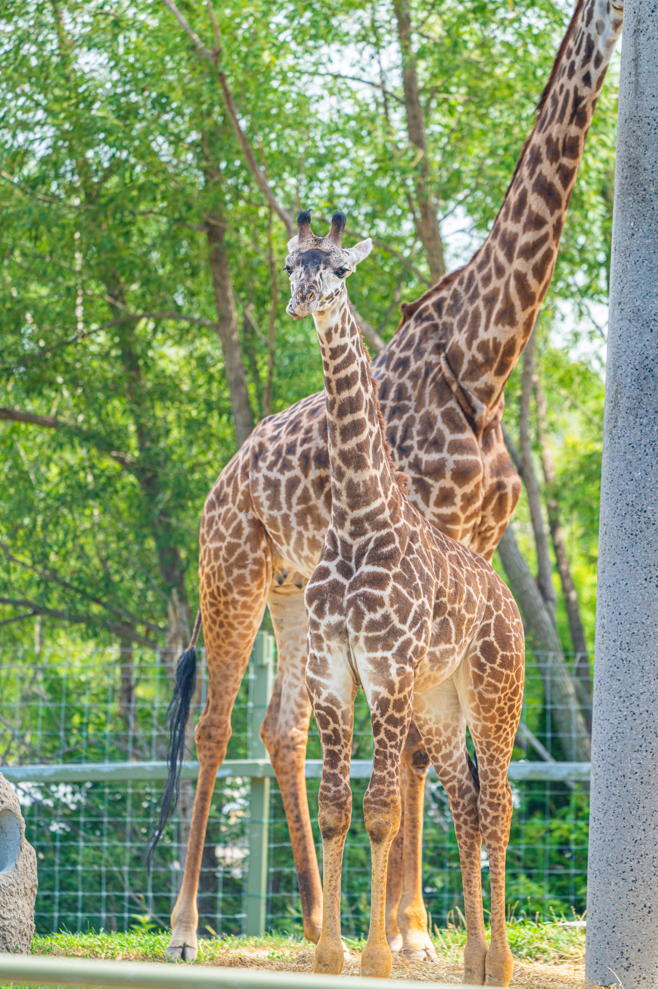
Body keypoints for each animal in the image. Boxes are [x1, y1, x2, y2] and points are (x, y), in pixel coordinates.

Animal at [291, 209, 525, 986]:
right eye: (291, 263)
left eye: (340, 269)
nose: (302, 303)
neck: (360, 519)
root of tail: (507, 603)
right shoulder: (332, 670)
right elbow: (336, 804)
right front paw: (330, 952)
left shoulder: (387, 670)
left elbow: (383, 806)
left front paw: (374, 956)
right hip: (441, 703)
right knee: (469, 801)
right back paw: (475, 957)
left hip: (495, 693)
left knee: (500, 802)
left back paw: (502, 961)